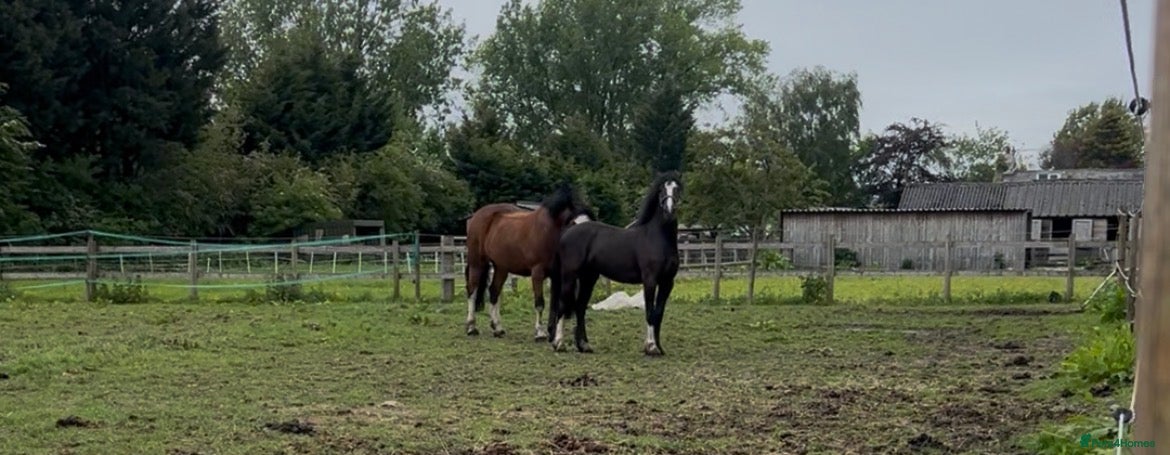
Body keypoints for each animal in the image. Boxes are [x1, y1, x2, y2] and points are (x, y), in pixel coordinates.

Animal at [463, 183, 593, 341]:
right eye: (573, 224)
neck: (550, 233)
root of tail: (476, 216)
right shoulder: (537, 272)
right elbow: (540, 303)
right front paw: (540, 332)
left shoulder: (556, 275)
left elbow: (554, 304)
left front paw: (552, 332)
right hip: (477, 262)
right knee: (472, 290)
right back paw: (471, 327)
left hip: (501, 267)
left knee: (494, 292)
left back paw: (497, 328)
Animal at [548, 171, 682, 356]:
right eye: (662, 190)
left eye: (677, 189)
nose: (669, 211)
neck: (658, 238)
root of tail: (568, 231)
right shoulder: (650, 280)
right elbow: (649, 312)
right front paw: (650, 346)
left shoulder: (667, 282)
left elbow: (658, 314)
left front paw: (659, 348)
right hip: (569, 275)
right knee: (563, 304)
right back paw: (559, 343)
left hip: (588, 278)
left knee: (580, 307)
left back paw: (584, 345)